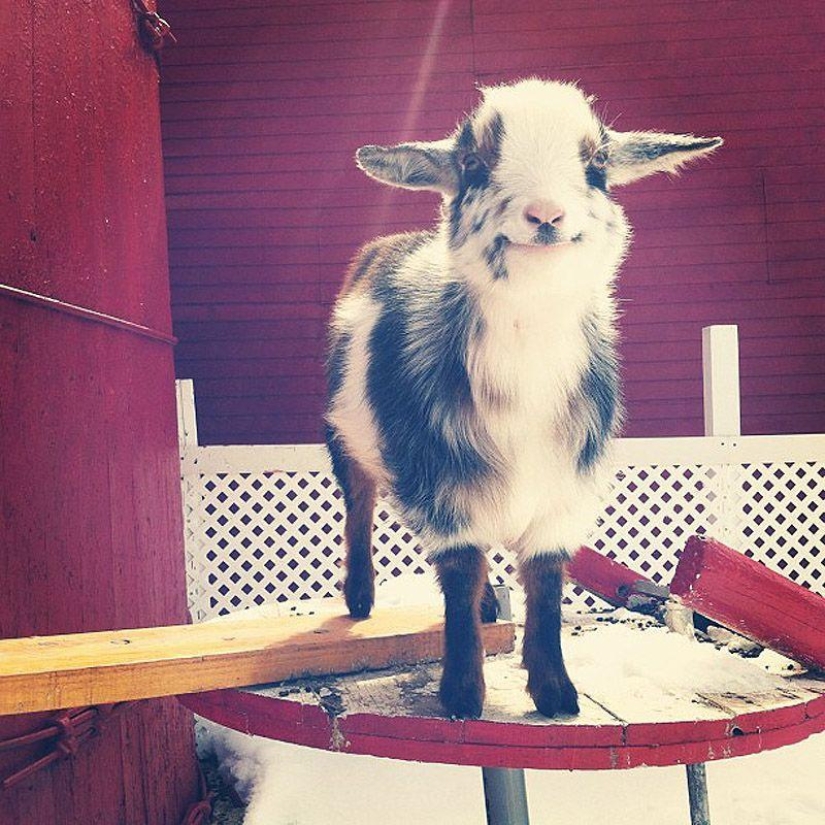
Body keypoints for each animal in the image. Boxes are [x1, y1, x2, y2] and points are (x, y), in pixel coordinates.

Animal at [325, 78, 721, 719]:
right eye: (472, 163)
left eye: (598, 164)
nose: (545, 214)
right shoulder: (442, 477)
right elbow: (459, 570)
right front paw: (462, 694)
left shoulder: (562, 486)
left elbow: (544, 580)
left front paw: (556, 692)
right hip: (343, 433)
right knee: (359, 501)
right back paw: (360, 597)